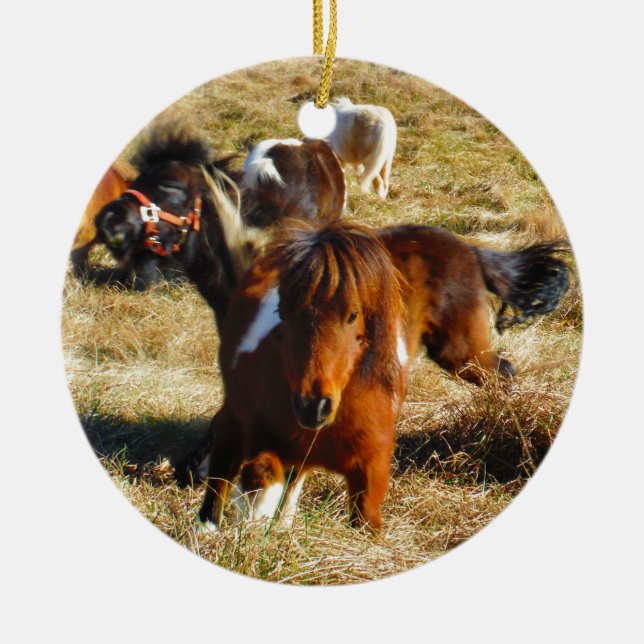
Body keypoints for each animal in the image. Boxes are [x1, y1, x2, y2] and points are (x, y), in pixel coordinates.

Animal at [198, 219, 408, 531]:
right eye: (282, 312)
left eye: (352, 315)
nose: (312, 406)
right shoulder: (260, 439)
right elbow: (258, 475)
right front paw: (253, 518)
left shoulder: (372, 469)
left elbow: (367, 520)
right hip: (234, 419)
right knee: (224, 473)